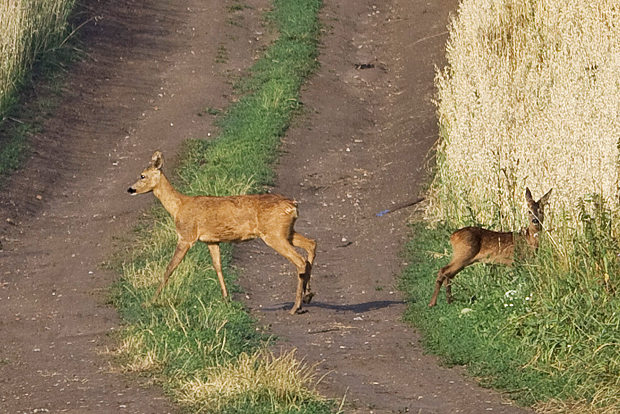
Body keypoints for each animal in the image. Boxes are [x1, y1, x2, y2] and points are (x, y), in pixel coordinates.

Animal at [128, 150, 318, 316]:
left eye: (142, 175)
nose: (130, 189)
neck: (178, 207)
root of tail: (293, 206)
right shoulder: (211, 240)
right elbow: (217, 266)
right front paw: (226, 297)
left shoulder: (186, 235)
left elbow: (170, 267)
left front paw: (150, 301)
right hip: (286, 231)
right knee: (311, 243)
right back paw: (308, 295)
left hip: (274, 233)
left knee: (300, 260)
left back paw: (295, 306)